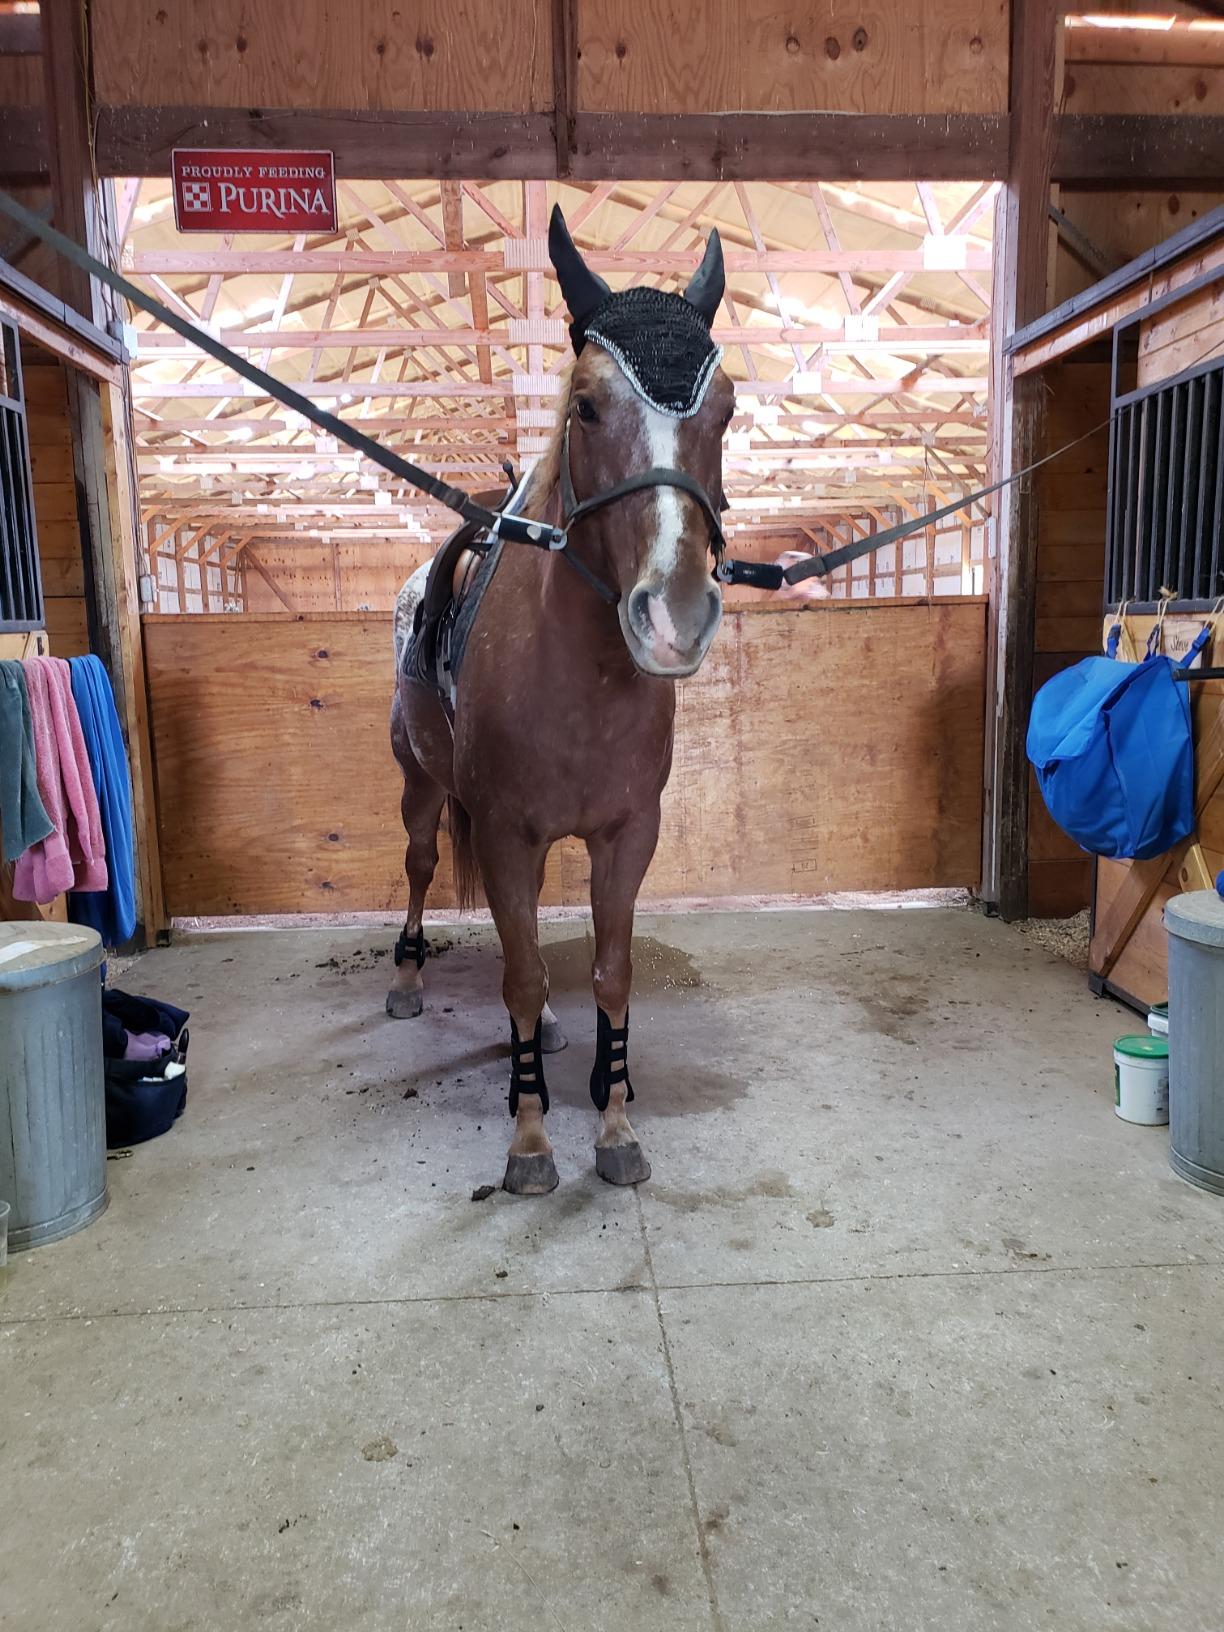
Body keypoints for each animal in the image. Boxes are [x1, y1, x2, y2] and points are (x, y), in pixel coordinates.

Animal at [386, 206, 734, 1195]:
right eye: (585, 404)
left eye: (727, 409)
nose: (676, 616)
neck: (576, 677)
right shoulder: (505, 831)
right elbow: (518, 974)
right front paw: (532, 1141)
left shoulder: (626, 835)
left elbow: (606, 976)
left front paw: (614, 1126)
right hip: (423, 788)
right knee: (422, 865)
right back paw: (408, 980)